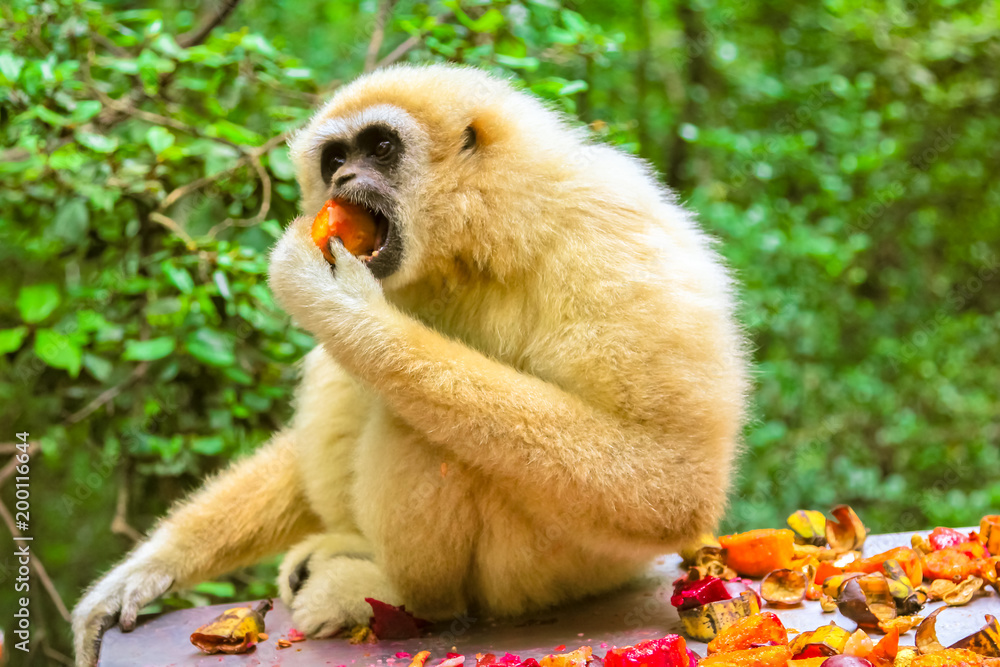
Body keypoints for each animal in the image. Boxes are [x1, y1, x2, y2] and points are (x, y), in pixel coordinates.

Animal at [71, 64, 749, 666]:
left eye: (381, 147)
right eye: (334, 158)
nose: (345, 175)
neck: (480, 235)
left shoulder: (610, 237)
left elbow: (669, 481)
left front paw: (341, 304)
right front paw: (147, 570)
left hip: (550, 573)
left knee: (418, 429)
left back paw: (390, 598)